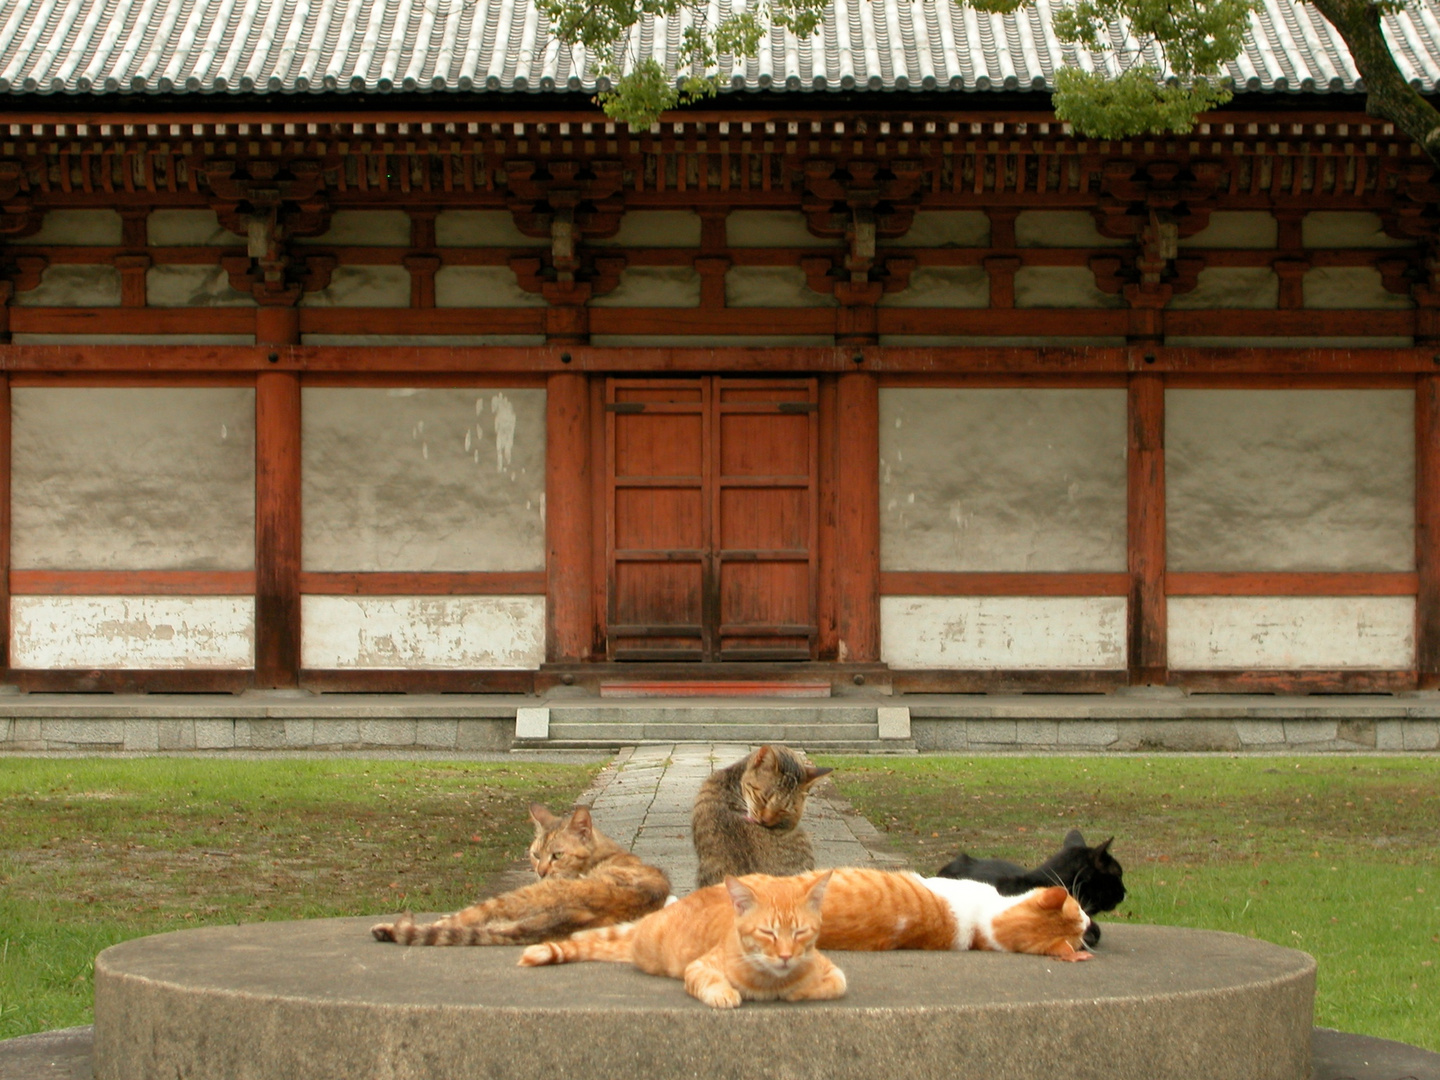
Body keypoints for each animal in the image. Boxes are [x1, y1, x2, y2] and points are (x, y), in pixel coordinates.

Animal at [518, 869, 840, 1013]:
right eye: (767, 933)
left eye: (800, 933)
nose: (785, 956)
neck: (769, 980)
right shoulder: (697, 967)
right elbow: (709, 981)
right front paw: (725, 994)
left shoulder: (833, 971)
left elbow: (830, 985)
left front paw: (798, 991)